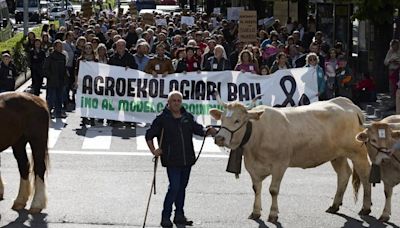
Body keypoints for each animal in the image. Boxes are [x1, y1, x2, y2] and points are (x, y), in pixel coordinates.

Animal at [211, 96, 370, 223]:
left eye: (237, 121)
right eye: (222, 119)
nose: (219, 138)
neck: (258, 133)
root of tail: (347, 103)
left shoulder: (280, 164)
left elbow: (273, 190)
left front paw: (273, 214)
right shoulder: (252, 166)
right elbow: (256, 189)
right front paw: (255, 212)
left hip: (358, 152)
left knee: (365, 174)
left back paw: (366, 208)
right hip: (336, 154)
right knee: (344, 174)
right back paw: (334, 205)